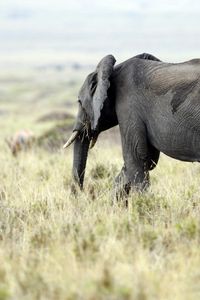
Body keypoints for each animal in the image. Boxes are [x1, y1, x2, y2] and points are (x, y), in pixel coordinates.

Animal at [63, 51, 200, 197]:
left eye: (79, 102)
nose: (82, 194)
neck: (112, 72)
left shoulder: (129, 105)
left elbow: (136, 157)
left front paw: (142, 201)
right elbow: (147, 160)